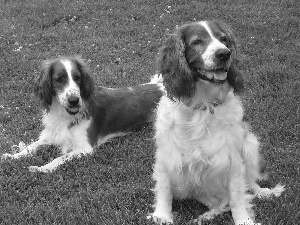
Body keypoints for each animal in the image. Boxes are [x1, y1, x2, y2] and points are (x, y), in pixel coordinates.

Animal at [1, 55, 163, 172]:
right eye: (59, 79)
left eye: (77, 77)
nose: (73, 100)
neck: (64, 115)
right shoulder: (51, 134)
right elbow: (31, 147)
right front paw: (13, 156)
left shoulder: (85, 148)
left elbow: (60, 157)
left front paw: (42, 168)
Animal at [149, 21, 284, 225]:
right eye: (197, 41)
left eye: (224, 39)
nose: (224, 54)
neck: (203, 105)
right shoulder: (167, 155)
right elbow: (164, 190)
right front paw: (162, 216)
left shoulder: (232, 158)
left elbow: (237, 196)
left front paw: (244, 220)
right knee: (218, 202)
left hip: (250, 144)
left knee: (249, 183)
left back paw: (264, 193)